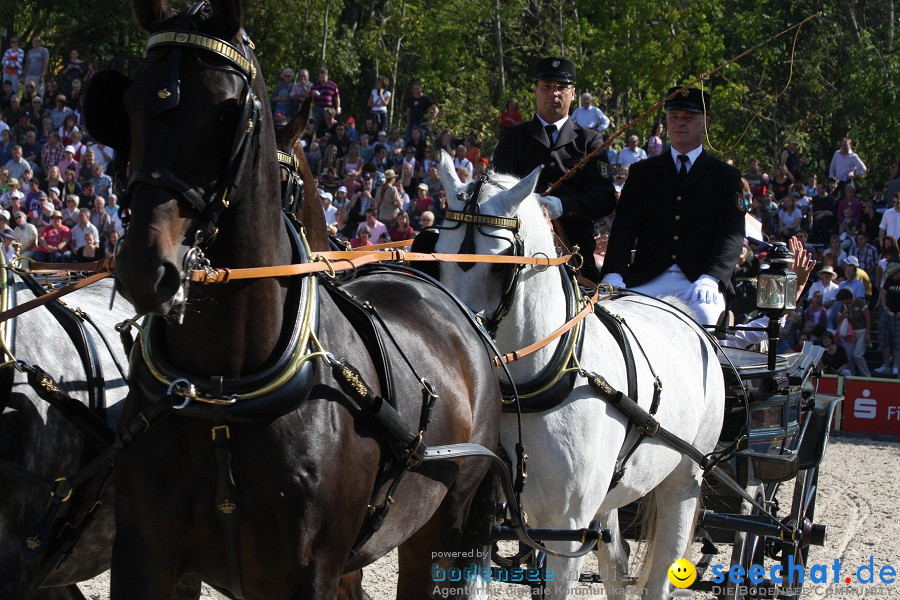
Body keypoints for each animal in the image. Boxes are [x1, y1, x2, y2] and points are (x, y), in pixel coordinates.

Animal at [103, 2, 506, 596]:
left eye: (226, 113)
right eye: (128, 106)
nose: (145, 265)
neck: (221, 394)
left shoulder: (308, 571)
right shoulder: (144, 558)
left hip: (439, 525)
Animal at [434, 154, 724, 600]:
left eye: (502, 265)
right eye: (435, 251)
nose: (456, 339)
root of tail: (682, 312)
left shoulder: (567, 527)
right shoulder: (479, 512)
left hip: (684, 479)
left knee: (662, 569)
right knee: (615, 565)